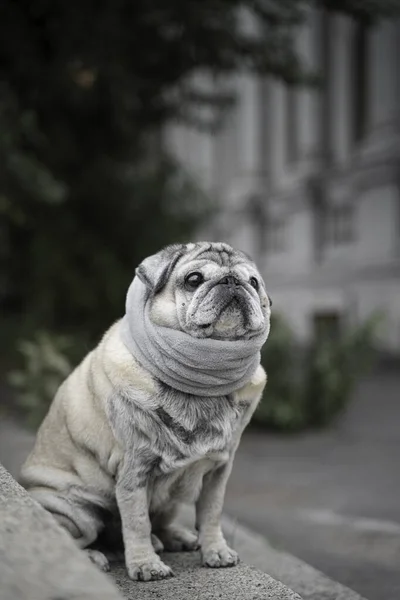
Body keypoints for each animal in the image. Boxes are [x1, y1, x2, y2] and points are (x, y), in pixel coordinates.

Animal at [19, 240, 272, 580]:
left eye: (254, 282)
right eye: (193, 279)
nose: (232, 281)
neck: (199, 386)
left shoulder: (218, 472)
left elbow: (211, 513)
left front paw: (215, 550)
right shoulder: (134, 470)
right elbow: (137, 522)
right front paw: (145, 565)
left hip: (170, 502)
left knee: (157, 523)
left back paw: (173, 538)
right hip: (76, 510)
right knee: (76, 536)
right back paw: (96, 556)